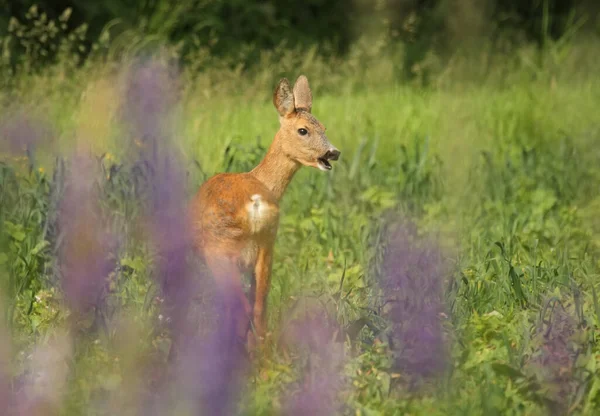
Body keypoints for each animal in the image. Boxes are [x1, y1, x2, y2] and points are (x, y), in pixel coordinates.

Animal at [190, 74, 340, 352]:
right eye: (304, 130)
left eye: (323, 128)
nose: (333, 152)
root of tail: (256, 203)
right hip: (267, 246)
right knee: (260, 308)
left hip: (221, 249)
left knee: (241, 308)